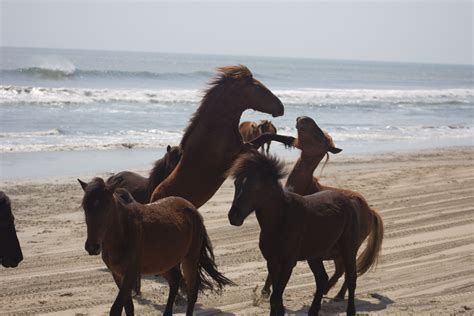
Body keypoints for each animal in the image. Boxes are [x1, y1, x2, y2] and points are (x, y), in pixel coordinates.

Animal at [81, 179, 233, 314]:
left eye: (106, 206)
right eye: (85, 207)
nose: (92, 246)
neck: (124, 231)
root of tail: (192, 209)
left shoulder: (131, 273)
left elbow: (116, 308)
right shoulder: (117, 274)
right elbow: (128, 307)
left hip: (190, 258)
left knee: (192, 292)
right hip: (164, 263)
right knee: (175, 281)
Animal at [152, 65, 294, 207]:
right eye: (260, 89)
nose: (281, 108)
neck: (213, 131)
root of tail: (153, 199)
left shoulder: (246, 146)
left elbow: (266, 136)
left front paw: (290, 140)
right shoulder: (233, 157)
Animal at [228, 152, 362, 314]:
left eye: (256, 186)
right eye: (236, 183)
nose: (233, 217)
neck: (281, 219)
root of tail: (348, 201)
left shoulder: (288, 263)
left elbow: (275, 298)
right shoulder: (272, 261)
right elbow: (276, 299)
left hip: (348, 249)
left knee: (351, 278)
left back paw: (350, 311)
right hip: (315, 255)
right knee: (322, 279)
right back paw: (313, 311)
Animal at [260, 117, 386, 300]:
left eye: (320, 136)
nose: (303, 118)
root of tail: (371, 211)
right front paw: (265, 290)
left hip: (349, 247)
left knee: (347, 271)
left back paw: (334, 293)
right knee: (342, 270)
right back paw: (331, 292)